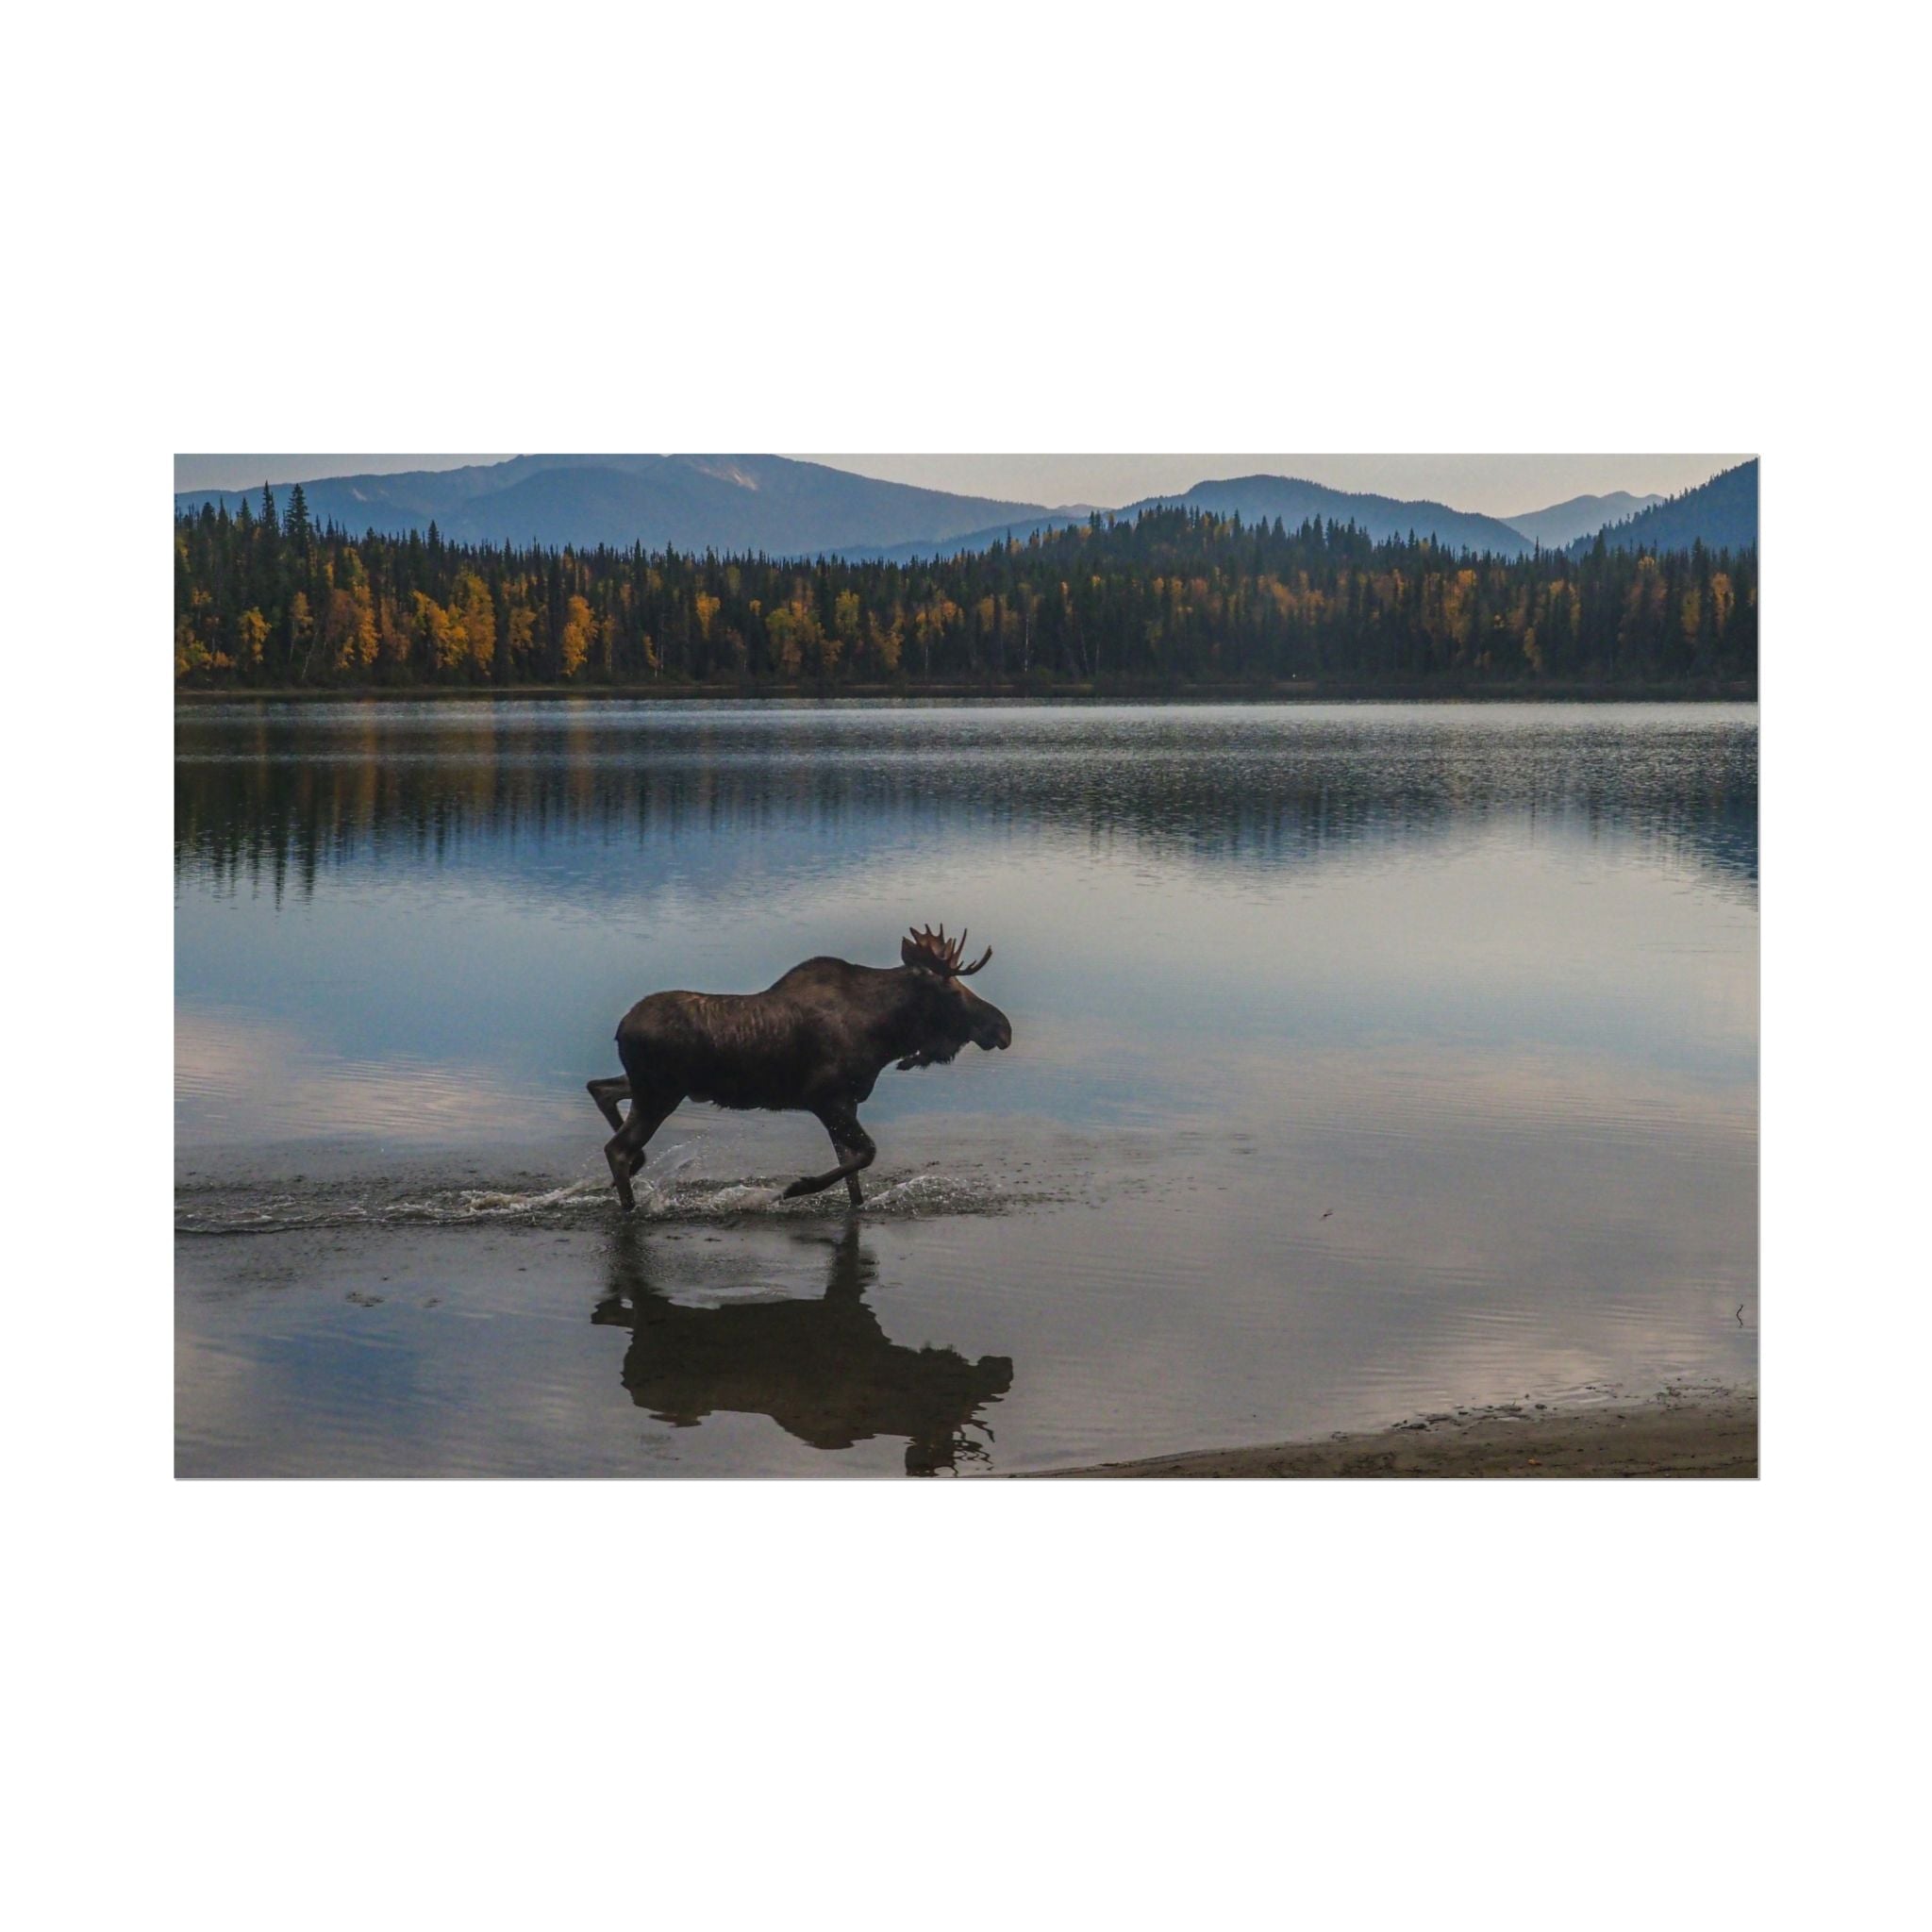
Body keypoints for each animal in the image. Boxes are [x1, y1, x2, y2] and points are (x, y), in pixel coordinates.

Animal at [588, 924, 1013, 1213]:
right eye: (952, 990)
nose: (1003, 1028)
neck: (885, 1035)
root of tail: (620, 1029)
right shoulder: (826, 1098)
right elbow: (867, 1154)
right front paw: (796, 1188)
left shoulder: (846, 1103)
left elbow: (853, 1173)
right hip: (659, 1093)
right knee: (617, 1148)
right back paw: (630, 1205)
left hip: (653, 1088)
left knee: (600, 1088)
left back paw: (638, 1167)